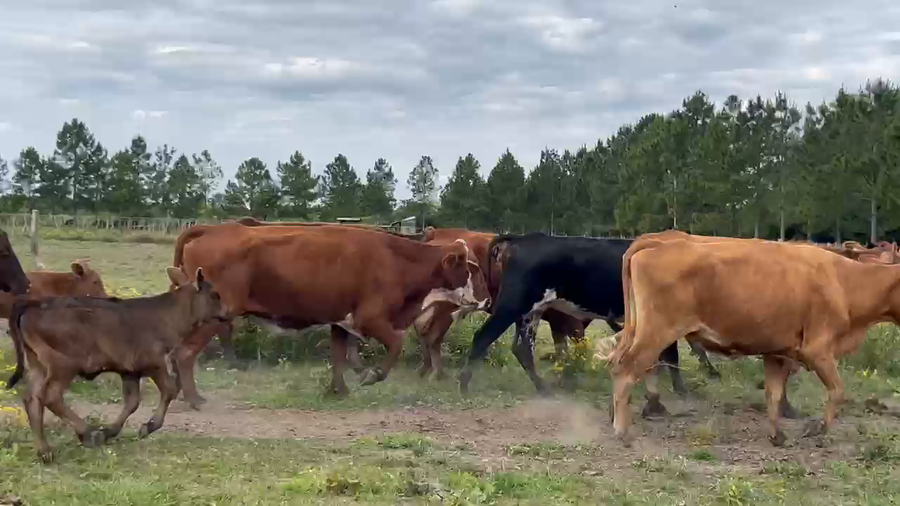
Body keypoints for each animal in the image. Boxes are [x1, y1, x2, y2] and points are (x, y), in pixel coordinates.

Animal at [5, 267, 226, 463]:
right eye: (215, 294)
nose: (227, 312)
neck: (166, 314)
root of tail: (33, 305)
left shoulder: (130, 371)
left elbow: (132, 401)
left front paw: (110, 431)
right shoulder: (154, 363)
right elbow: (169, 390)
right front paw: (147, 426)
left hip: (38, 365)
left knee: (32, 399)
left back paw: (45, 451)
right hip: (63, 366)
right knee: (50, 397)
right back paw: (87, 433)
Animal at [169, 223, 490, 408]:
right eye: (472, 268)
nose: (488, 298)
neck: (398, 261)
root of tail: (210, 231)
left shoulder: (341, 322)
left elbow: (338, 357)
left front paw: (339, 390)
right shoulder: (370, 319)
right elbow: (395, 346)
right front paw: (372, 375)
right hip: (214, 318)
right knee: (184, 354)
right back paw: (194, 398)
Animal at [607, 234, 900, 446]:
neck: (844, 281)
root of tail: (657, 243)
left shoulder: (778, 352)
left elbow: (774, 393)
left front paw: (777, 435)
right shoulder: (818, 350)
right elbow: (838, 391)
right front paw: (816, 429)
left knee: (626, 364)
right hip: (656, 332)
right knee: (627, 369)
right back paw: (623, 431)